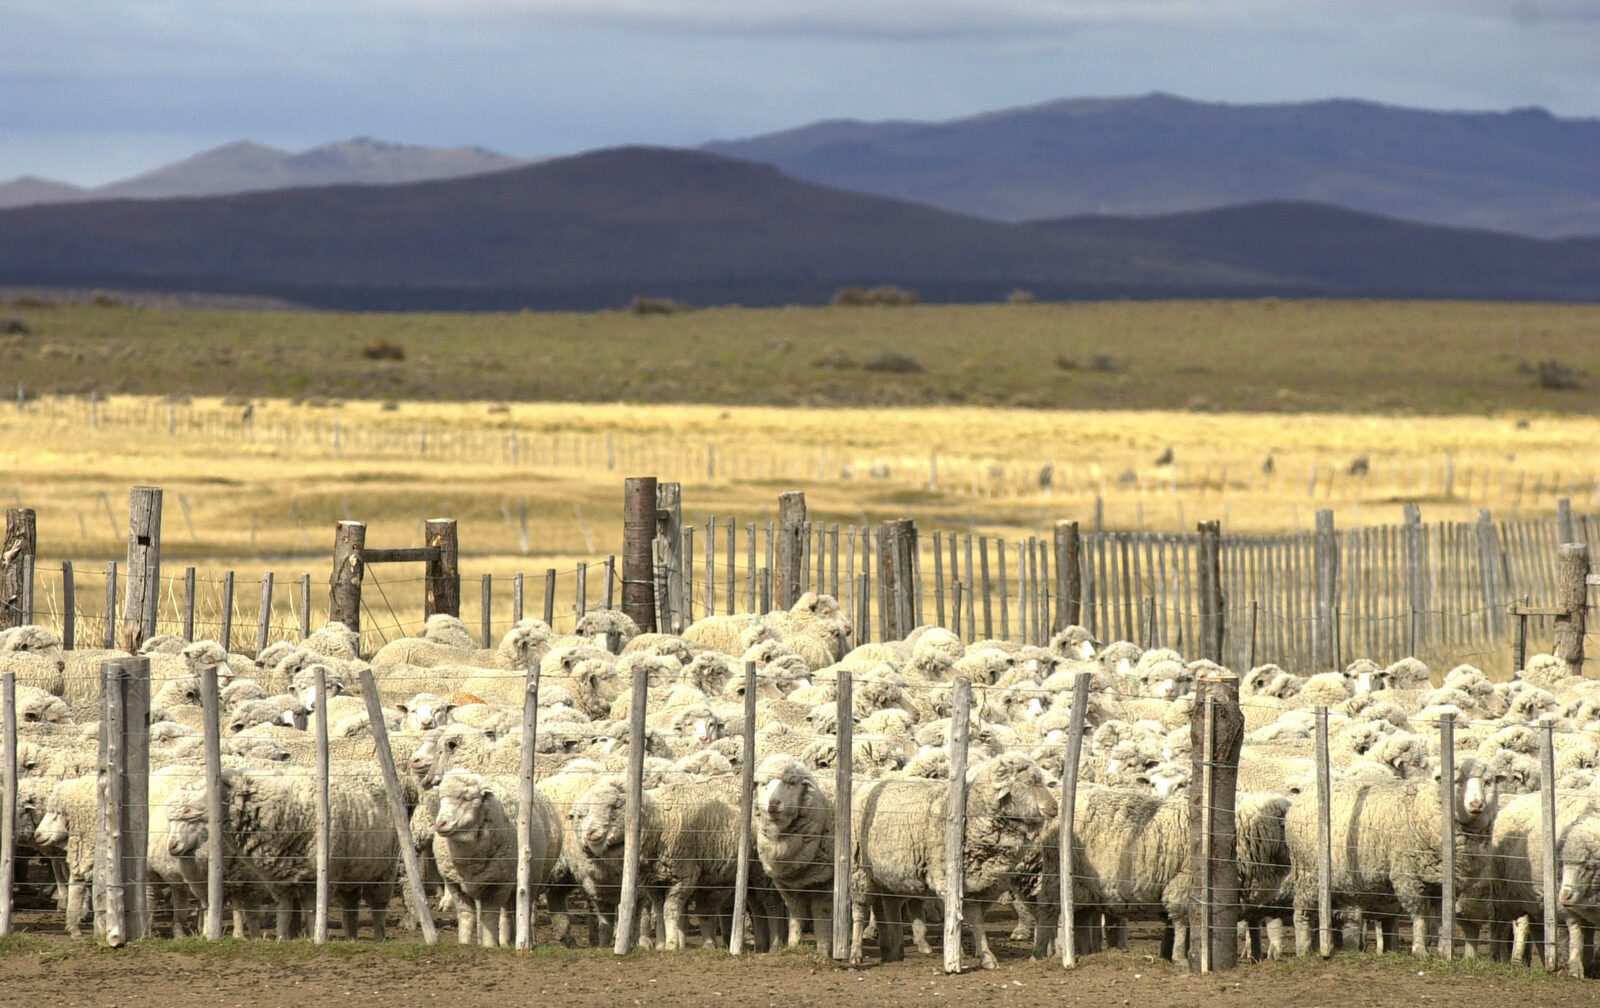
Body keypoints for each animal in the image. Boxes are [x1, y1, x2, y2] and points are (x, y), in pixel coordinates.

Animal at [849, 751, 1058, 968]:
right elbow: (959, 917)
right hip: (860, 869)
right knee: (860, 910)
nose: (1054, 807)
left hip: (890, 874)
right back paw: (856, 952)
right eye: (1029, 782)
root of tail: (870, 785)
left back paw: (894, 951)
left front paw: (984, 955)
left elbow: (976, 919)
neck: (972, 816)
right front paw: (960, 953)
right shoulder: (948, 879)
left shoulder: (979, 884)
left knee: (889, 907)